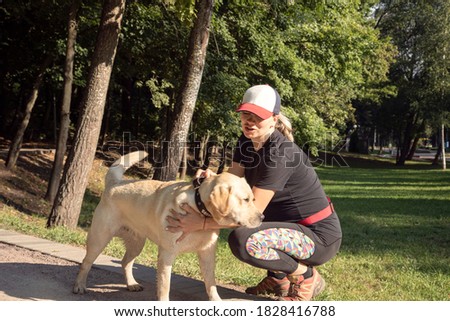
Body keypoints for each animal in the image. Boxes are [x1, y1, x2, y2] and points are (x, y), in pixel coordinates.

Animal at [73, 151, 264, 298]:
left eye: (253, 199)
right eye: (246, 200)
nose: (262, 217)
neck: (198, 207)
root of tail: (114, 183)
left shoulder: (207, 254)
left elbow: (211, 284)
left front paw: (216, 301)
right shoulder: (166, 255)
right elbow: (165, 287)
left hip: (137, 243)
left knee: (125, 262)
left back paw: (132, 283)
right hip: (100, 238)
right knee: (86, 262)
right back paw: (79, 286)